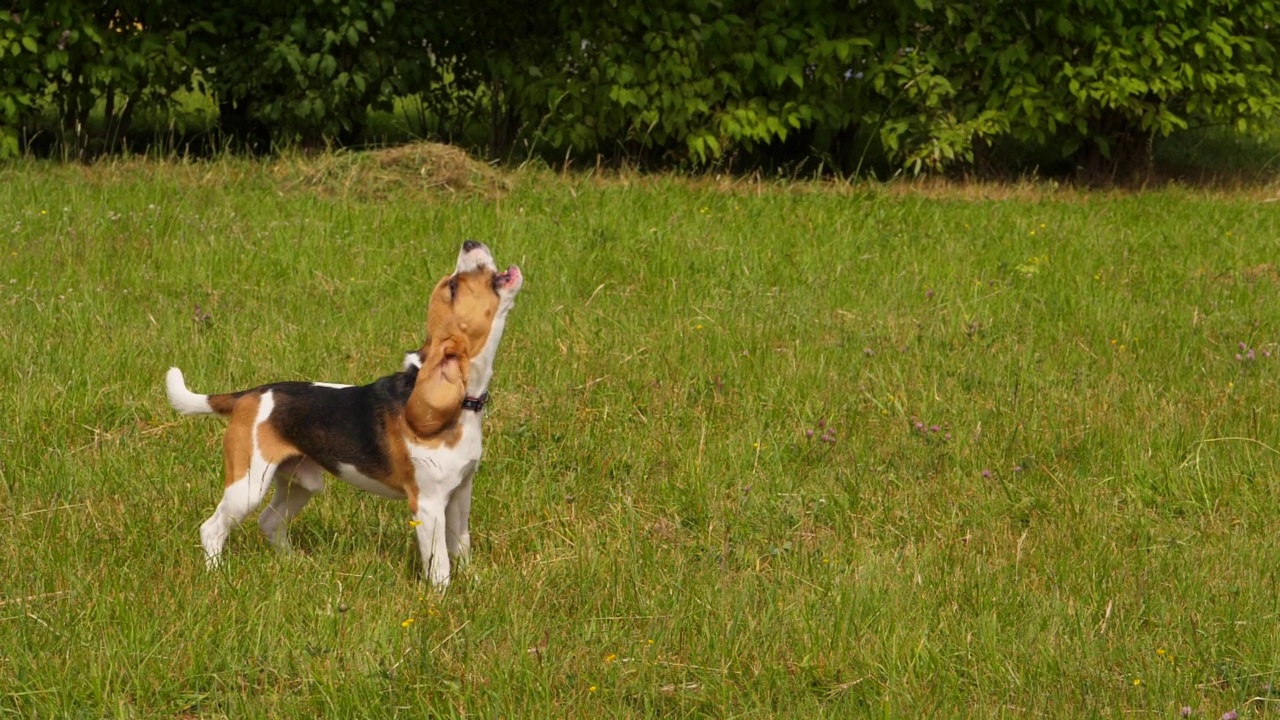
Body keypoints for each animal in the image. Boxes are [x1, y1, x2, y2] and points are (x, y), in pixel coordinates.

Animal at [167, 240, 522, 584]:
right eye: (453, 287)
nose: (469, 242)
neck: (464, 405)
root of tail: (248, 395)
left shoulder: (461, 493)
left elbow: (461, 547)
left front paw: (473, 582)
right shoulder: (428, 505)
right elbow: (440, 565)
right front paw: (441, 596)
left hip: (302, 483)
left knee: (269, 521)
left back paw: (295, 565)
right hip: (248, 487)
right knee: (212, 528)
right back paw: (217, 574)